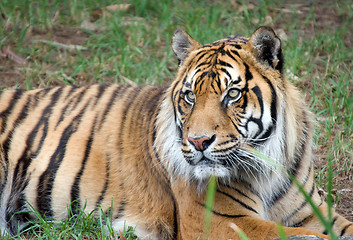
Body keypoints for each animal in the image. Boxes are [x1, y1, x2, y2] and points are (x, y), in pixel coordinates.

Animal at [0, 25, 352, 239]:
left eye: (232, 94)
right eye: (190, 96)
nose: (198, 141)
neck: (268, 168)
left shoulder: (312, 211)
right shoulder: (220, 221)